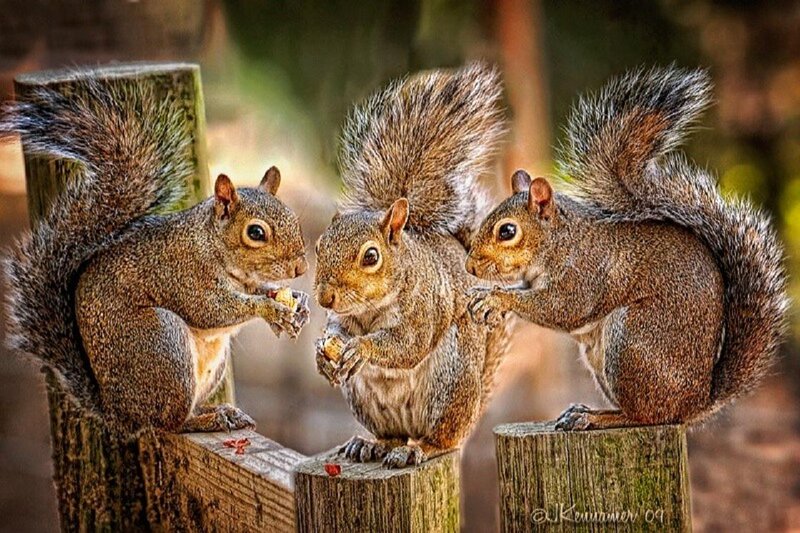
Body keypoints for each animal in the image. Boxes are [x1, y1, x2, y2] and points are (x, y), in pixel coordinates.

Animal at [1, 77, 310, 437]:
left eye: (292, 218)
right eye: (256, 233)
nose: (301, 267)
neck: (211, 244)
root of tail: (117, 411)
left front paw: (294, 302)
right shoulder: (184, 274)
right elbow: (213, 310)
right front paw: (270, 309)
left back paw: (218, 411)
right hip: (162, 344)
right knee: (169, 422)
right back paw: (205, 420)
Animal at [312, 63, 512, 468]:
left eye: (371, 256)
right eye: (319, 246)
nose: (325, 297)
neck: (370, 309)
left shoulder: (424, 309)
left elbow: (407, 345)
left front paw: (362, 349)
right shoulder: (344, 318)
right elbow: (338, 329)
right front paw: (324, 354)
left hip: (449, 385)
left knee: (442, 439)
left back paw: (419, 449)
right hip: (367, 401)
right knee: (392, 434)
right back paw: (373, 445)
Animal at [466, 66, 788, 430]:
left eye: (507, 231)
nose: (470, 266)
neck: (560, 242)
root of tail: (695, 404)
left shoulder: (583, 275)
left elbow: (560, 309)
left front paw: (496, 298)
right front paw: (485, 294)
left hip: (632, 340)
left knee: (644, 416)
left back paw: (596, 417)